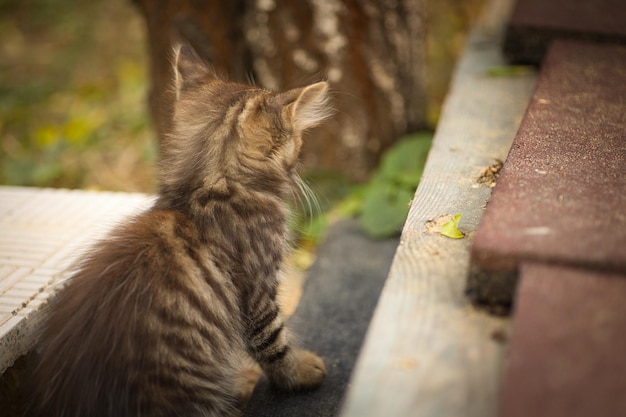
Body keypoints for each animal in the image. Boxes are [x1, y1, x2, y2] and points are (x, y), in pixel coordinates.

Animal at [31, 44, 330, 416]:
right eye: (298, 142)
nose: (301, 159)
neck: (204, 191)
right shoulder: (258, 293)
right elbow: (274, 345)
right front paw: (301, 372)